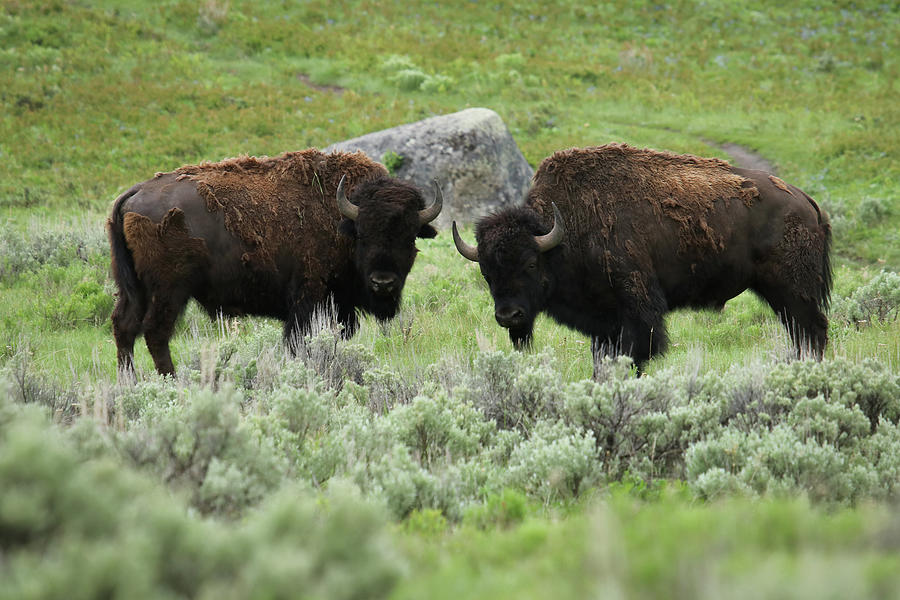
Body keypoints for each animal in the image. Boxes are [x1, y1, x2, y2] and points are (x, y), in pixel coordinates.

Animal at [107, 149, 442, 376]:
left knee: (124, 326)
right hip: (169, 290)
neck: (342, 217)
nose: (382, 282)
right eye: (362, 234)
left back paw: (129, 382)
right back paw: (171, 381)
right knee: (155, 332)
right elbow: (299, 342)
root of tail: (135, 193)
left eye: (409, 236)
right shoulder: (308, 303)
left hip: (133, 288)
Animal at [454, 143, 832, 372]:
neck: (564, 232)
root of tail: (808, 202)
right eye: (487, 272)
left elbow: (637, 354)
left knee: (812, 330)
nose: (509, 316)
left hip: (792, 290)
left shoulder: (637, 310)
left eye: (531, 263)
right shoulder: (603, 323)